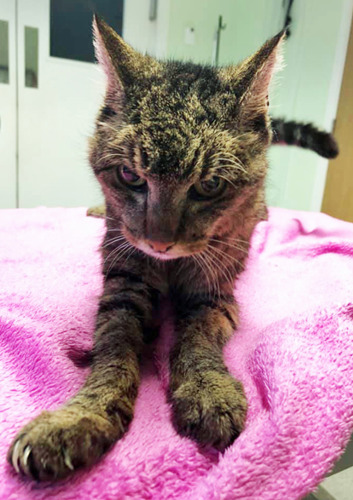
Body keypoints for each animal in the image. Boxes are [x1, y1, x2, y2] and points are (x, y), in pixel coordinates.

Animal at [6, 17, 332, 482]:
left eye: (209, 185)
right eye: (130, 176)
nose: (159, 241)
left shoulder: (214, 293)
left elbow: (197, 338)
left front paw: (206, 388)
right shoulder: (123, 283)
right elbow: (114, 346)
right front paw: (80, 418)